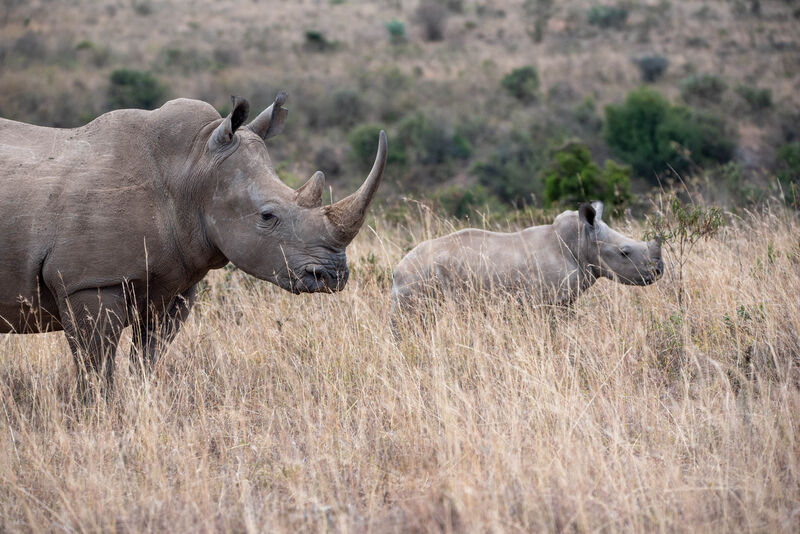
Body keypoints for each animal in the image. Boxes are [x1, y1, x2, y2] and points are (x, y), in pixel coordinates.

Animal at [0, 93, 387, 397]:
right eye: (267, 216)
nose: (333, 275)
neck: (193, 167)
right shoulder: (89, 281)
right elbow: (96, 367)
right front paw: (98, 417)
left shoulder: (172, 285)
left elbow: (147, 359)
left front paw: (143, 405)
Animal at [390, 201, 663, 327]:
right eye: (624, 252)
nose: (659, 271)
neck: (582, 241)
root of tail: (396, 270)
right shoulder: (548, 302)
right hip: (416, 280)